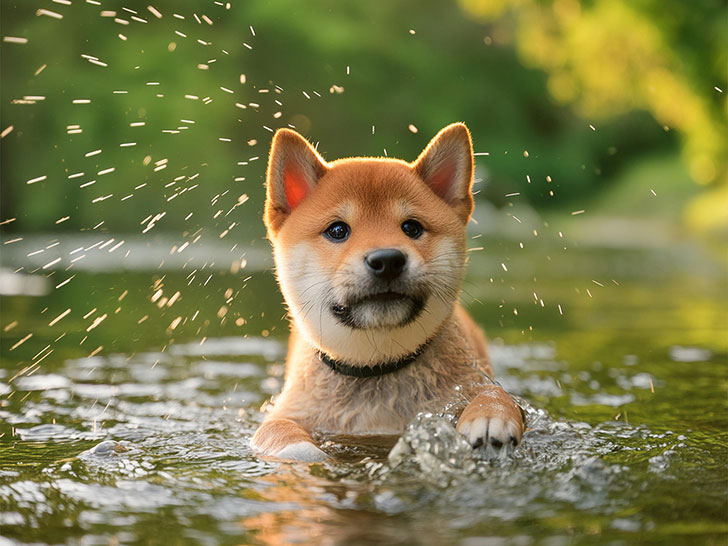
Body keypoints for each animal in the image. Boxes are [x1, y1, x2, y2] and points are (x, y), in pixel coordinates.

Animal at [250, 122, 524, 460]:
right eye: (337, 230)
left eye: (412, 227)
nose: (387, 260)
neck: (377, 366)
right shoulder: (288, 410)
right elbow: (277, 430)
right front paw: (307, 452)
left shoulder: (468, 385)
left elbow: (496, 393)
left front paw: (489, 414)